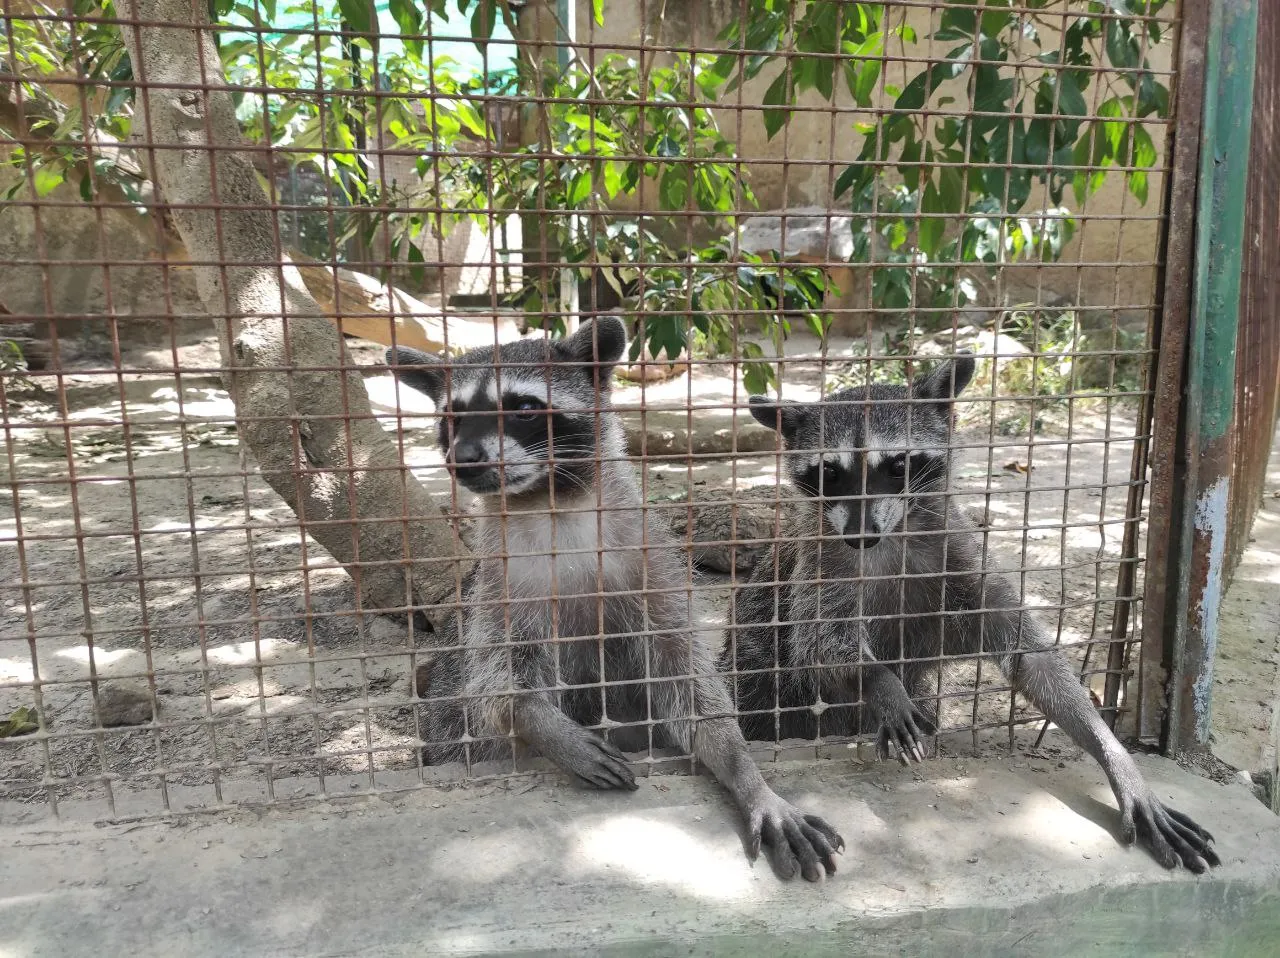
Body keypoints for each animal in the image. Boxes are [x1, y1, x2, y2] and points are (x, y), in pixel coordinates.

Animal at [389, 317, 849, 881]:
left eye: (523, 407)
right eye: (453, 417)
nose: (464, 458)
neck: (551, 505)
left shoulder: (651, 566)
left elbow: (689, 684)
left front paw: (746, 772)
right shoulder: (496, 591)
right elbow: (495, 687)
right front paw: (542, 724)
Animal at [732, 356, 1218, 870]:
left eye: (897, 465)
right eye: (830, 472)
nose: (860, 536)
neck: (892, 537)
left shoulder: (959, 559)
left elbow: (1032, 656)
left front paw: (1114, 755)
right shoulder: (822, 565)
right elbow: (818, 645)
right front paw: (880, 681)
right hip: (758, 681)